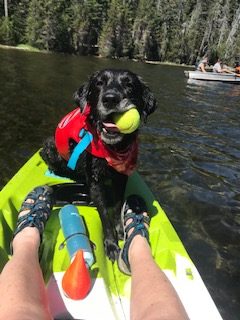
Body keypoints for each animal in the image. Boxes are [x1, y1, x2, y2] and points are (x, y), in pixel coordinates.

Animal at [40, 69, 158, 262]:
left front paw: (120, 229)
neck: (112, 148)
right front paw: (110, 244)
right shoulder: (95, 182)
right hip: (50, 147)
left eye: (129, 84)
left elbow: (117, 205)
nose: (110, 98)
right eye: (99, 83)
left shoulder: (121, 178)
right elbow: (104, 213)